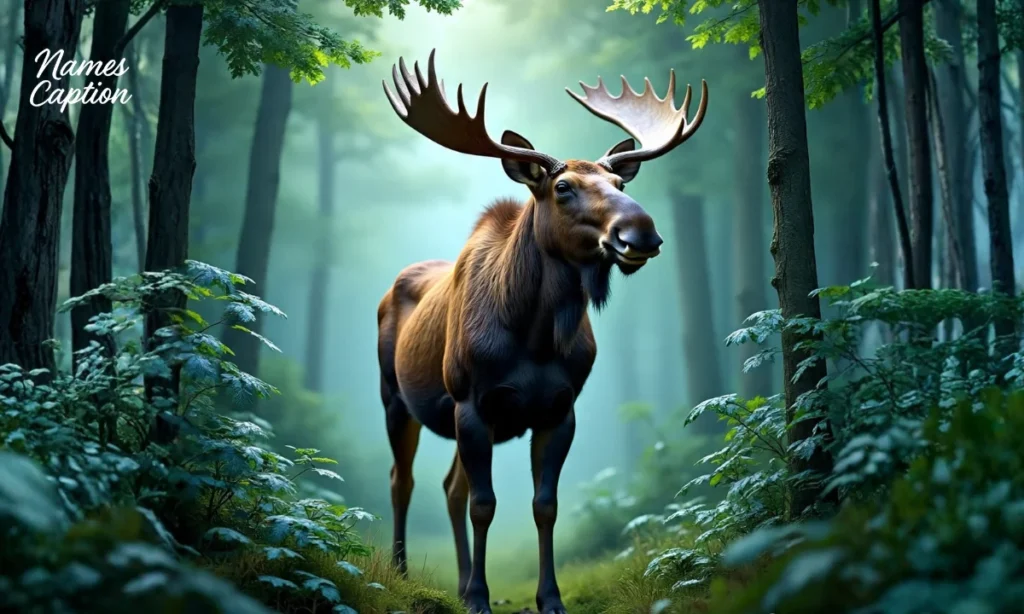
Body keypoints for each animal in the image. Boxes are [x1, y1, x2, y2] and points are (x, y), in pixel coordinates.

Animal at [376, 49, 707, 614]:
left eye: (622, 186)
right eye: (563, 187)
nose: (642, 233)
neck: (533, 335)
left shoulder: (559, 408)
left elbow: (544, 505)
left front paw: (547, 598)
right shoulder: (472, 401)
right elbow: (485, 504)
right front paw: (481, 598)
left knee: (449, 487)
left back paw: (459, 582)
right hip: (396, 397)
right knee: (404, 480)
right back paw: (402, 573)